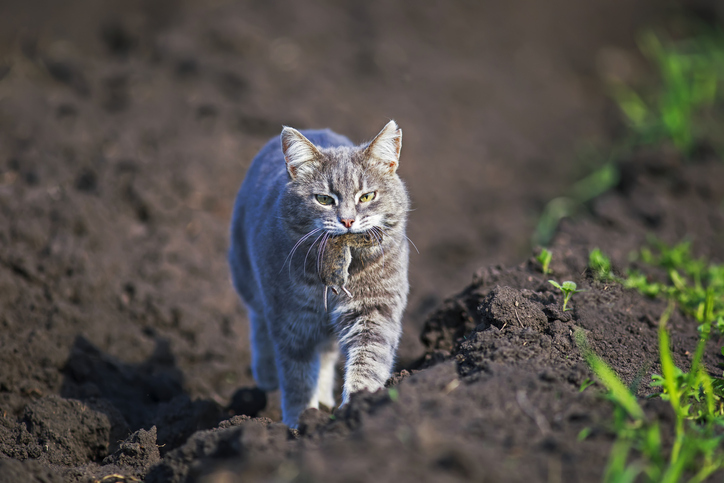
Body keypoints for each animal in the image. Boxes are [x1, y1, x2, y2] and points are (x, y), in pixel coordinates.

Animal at [229, 120, 410, 428]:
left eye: (367, 196)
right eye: (324, 199)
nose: (347, 220)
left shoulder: (374, 309)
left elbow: (368, 359)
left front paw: (356, 405)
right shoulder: (292, 320)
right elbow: (297, 378)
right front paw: (299, 423)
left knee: (326, 355)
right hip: (245, 274)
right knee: (259, 323)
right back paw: (266, 376)